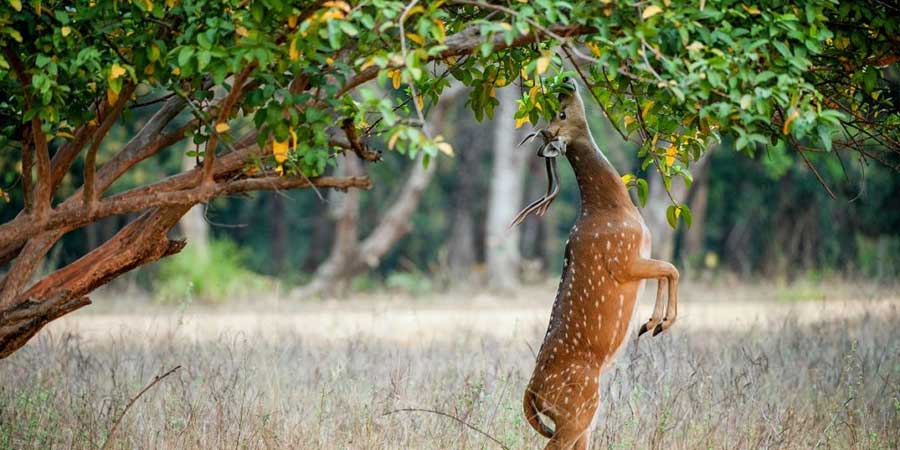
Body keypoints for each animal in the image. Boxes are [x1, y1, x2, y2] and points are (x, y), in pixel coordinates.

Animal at [510, 78, 680, 450]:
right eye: (561, 113)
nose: (566, 82)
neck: (613, 208)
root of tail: (532, 393)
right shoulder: (623, 258)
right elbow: (671, 268)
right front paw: (659, 323)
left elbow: (667, 270)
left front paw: (650, 323)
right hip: (578, 407)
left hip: (581, 418)